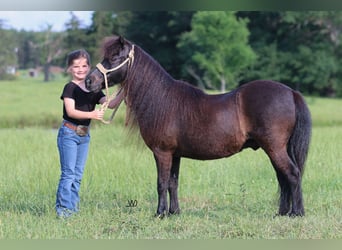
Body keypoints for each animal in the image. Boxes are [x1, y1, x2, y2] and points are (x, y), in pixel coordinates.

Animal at [85, 35, 310, 217]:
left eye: (115, 57)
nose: (88, 81)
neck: (161, 99)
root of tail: (291, 92)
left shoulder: (162, 152)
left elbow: (161, 183)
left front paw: (160, 213)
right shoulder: (174, 154)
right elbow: (173, 183)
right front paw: (174, 212)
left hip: (274, 148)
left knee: (292, 174)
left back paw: (296, 213)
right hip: (274, 149)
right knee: (283, 177)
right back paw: (282, 212)